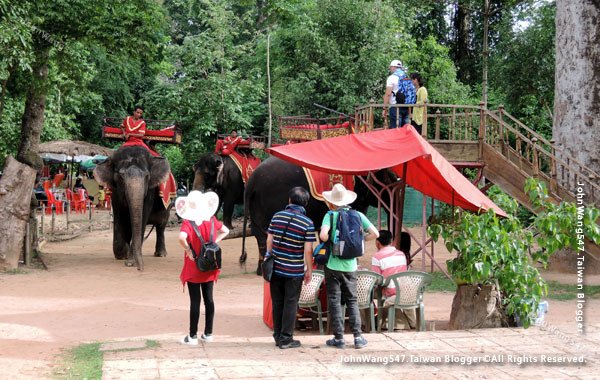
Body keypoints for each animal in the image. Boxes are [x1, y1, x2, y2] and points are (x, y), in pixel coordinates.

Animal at [241, 156, 396, 274]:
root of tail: (252, 180)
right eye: (387, 180)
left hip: (256, 204)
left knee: (259, 234)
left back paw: (260, 270)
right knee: (267, 232)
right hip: (271, 199)